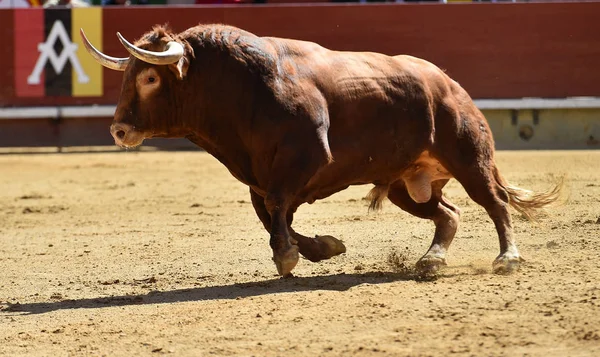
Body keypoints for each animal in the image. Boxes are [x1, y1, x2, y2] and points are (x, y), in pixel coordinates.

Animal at [81, 23, 564, 276]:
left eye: (149, 78)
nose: (118, 130)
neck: (239, 88)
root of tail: (449, 84)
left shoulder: (307, 157)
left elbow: (278, 207)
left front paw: (288, 255)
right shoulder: (257, 176)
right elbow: (271, 214)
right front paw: (322, 248)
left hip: (469, 156)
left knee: (495, 201)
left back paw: (507, 257)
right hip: (407, 185)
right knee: (448, 213)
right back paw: (431, 260)